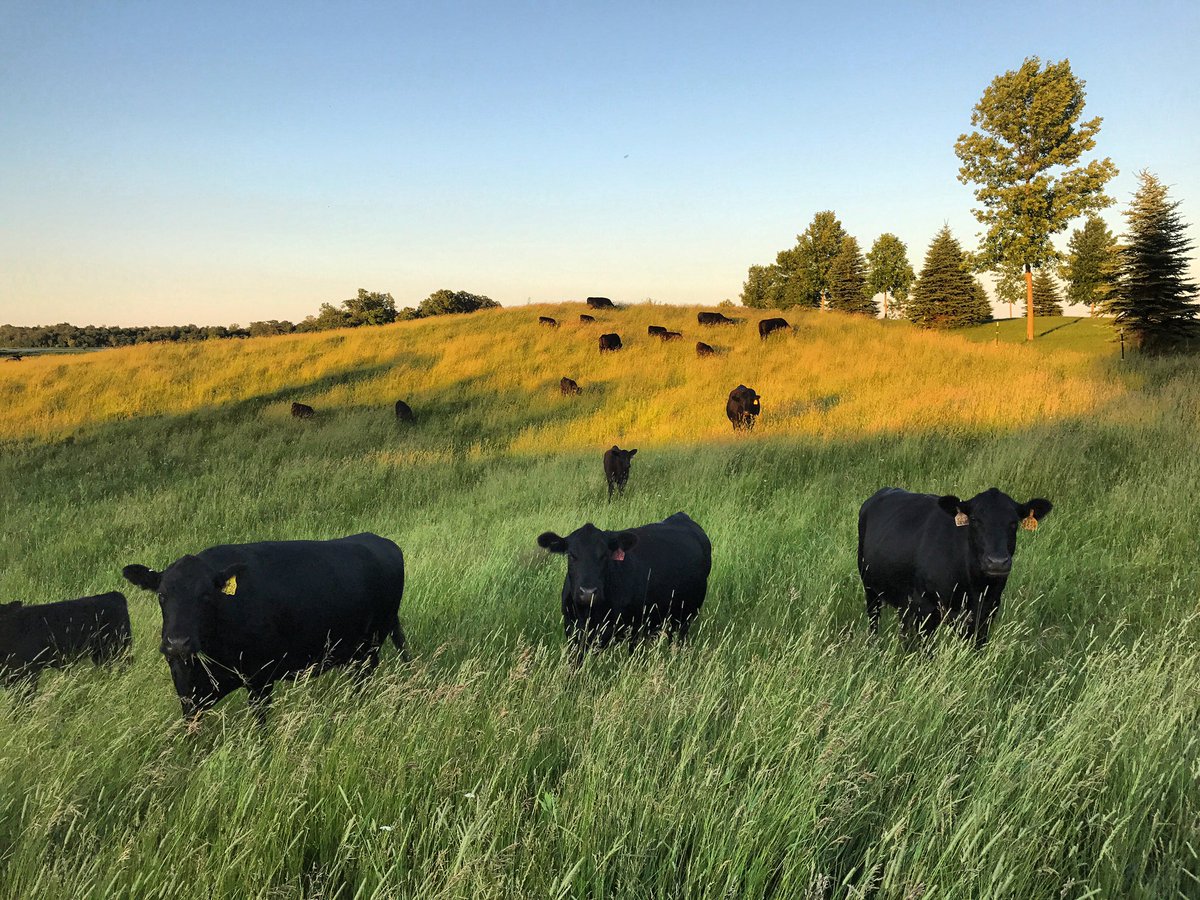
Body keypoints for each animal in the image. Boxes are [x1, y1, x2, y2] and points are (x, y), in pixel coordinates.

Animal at [122, 533, 407, 722]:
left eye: (206, 596)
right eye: (162, 595)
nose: (178, 643)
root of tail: (379, 540)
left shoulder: (260, 677)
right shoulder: (186, 688)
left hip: (368, 648)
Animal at [536, 511, 711, 663]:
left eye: (605, 555)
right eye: (572, 555)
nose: (588, 592)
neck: (589, 613)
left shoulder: (634, 629)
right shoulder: (572, 630)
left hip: (685, 617)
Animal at [857, 487, 1053, 648]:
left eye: (1014, 522)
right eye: (974, 519)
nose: (997, 562)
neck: (974, 585)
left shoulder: (988, 610)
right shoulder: (926, 607)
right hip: (870, 588)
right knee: (874, 621)